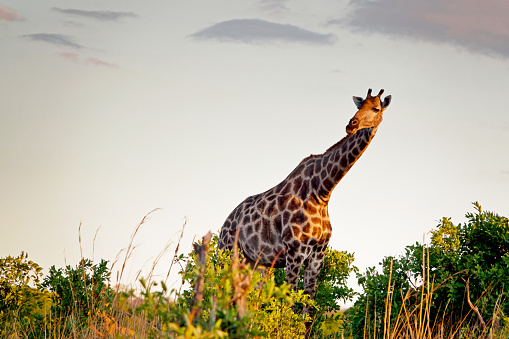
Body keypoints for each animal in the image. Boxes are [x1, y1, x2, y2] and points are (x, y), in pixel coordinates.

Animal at [216, 88, 390, 302]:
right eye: (360, 105)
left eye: (376, 108)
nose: (352, 124)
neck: (322, 191)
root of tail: (224, 224)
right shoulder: (294, 251)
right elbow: (290, 301)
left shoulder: (317, 255)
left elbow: (308, 303)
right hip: (228, 255)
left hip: (257, 263)